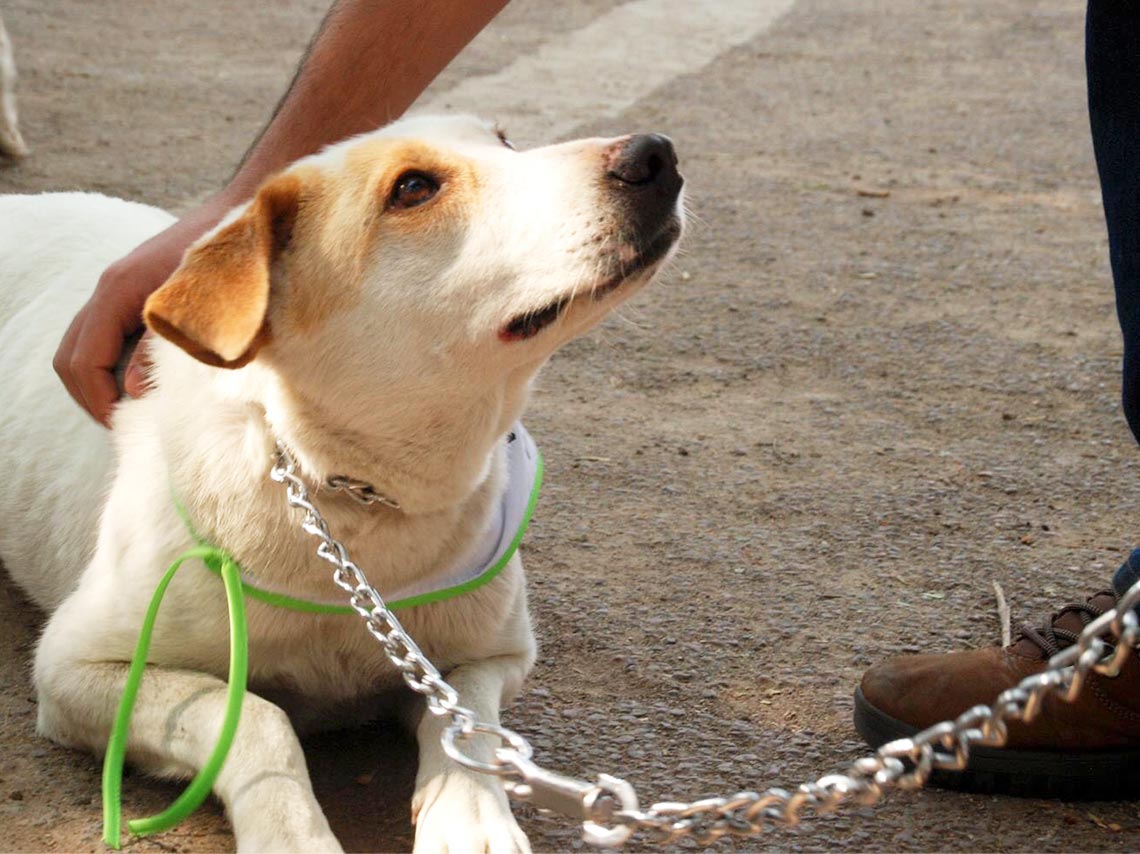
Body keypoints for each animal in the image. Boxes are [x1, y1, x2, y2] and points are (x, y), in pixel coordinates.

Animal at [0, 115, 684, 852]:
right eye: (413, 188)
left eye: (503, 141)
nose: (655, 155)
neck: (356, 506)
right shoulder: (74, 668)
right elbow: (254, 714)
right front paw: (290, 834)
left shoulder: (496, 655)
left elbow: (466, 722)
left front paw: (472, 814)